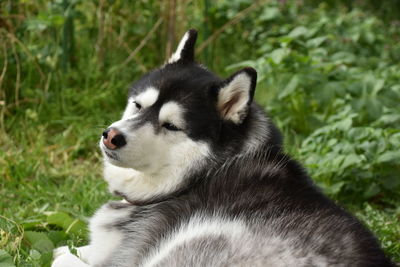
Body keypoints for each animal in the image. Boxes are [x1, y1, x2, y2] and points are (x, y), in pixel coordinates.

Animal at [52, 29, 394, 267]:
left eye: (171, 126)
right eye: (138, 105)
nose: (111, 136)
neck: (200, 175)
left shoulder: (123, 255)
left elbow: (66, 256)